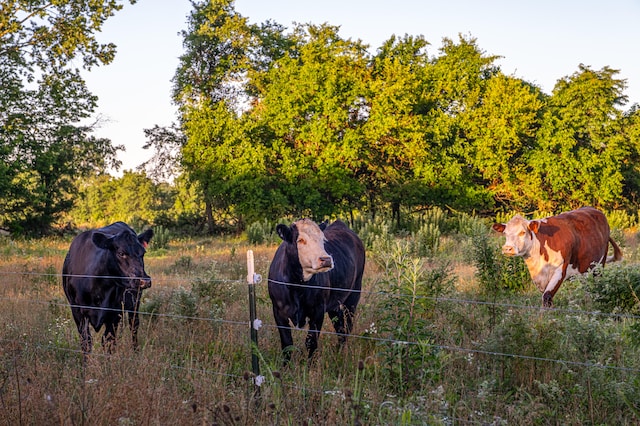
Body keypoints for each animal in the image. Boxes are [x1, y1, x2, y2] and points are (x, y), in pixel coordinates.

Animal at [62, 221, 154, 354]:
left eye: (143, 253)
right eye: (121, 253)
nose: (144, 281)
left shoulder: (114, 314)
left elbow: (109, 342)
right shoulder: (77, 310)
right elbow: (86, 342)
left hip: (135, 301)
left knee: (134, 326)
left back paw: (136, 352)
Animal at [266, 218, 364, 362]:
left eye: (323, 240)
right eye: (300, 240)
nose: (326, 259)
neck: (297, 286)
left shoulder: (318, 310)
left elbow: (311, 342)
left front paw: (309, 366)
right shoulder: (278, 311)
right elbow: (287, 344)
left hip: (354, 294)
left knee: (348, 325)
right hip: (335, 303)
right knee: (340, 326)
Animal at [492, 206, 624, 306]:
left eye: (522, 232)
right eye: (505, 233)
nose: (507, 248)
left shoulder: (560, 270)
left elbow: (547, 296)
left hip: (599, 266)